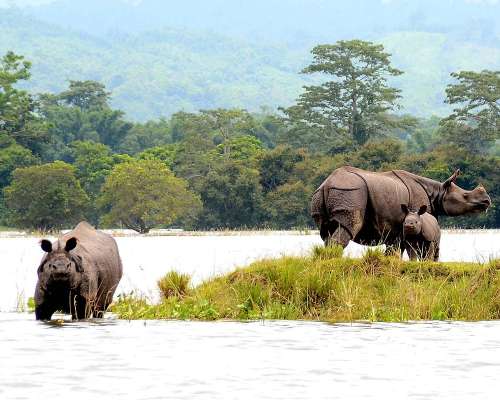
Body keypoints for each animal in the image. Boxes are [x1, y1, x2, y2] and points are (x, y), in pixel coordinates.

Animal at [310, 168, 490, 250]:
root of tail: (326, 184)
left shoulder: (394, 230)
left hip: (323, 195)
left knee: (326, 233)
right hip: (351, 192)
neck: (437, 192)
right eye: (466, 196)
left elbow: (393, 250)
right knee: (349, 226)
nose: (487, 201)